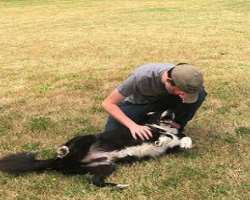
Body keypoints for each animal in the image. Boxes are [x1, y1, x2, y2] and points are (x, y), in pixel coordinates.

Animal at [0, 110, 192, 188]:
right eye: (159, 111)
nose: (170, 112)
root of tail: (56, 163)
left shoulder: (172, 147)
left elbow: (182, 138)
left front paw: (186, 143)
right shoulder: (148, 132)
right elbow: (164, 137)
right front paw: (162, 139)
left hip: (106, 166)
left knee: (95, 182)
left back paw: (119, 185)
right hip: (87, 139)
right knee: (67, 148)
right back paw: (63, 150)